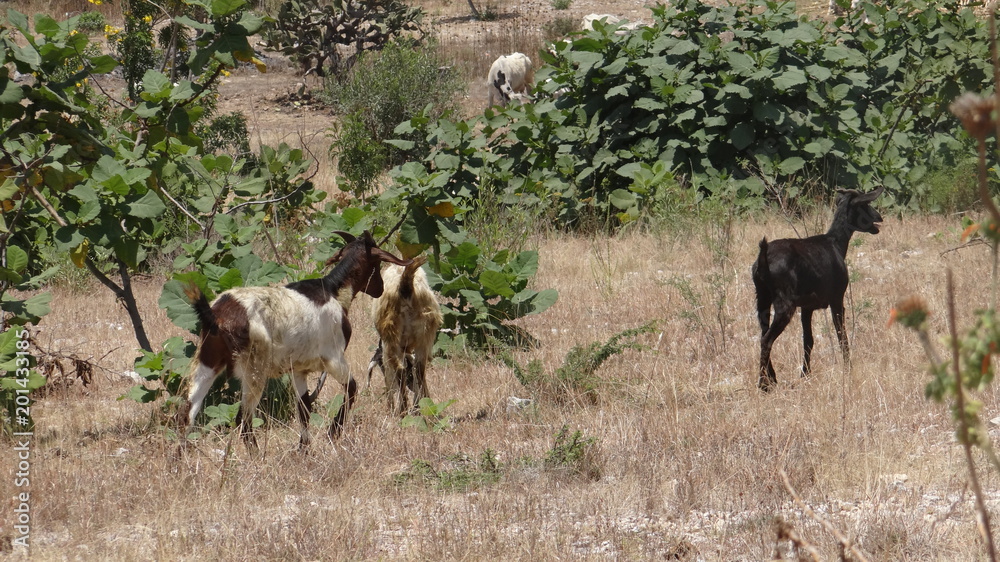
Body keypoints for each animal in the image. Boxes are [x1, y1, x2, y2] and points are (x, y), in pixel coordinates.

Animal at [182, 230, 412, 449]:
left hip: (206, 361)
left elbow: (304, 409)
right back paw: (256, 456)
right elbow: (351, 389)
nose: (380, 288)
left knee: (187, 414)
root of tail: (216, 315)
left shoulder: (299, 369)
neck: (333, 291)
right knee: (243, 419)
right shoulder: (334, 357)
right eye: (377, 263)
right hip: (254, 368)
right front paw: (333, 433)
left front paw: (304, 449)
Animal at [367, 255, 443, 416]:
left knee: (400, 370)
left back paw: (402, 411)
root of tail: (405, 284)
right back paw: (423, 406)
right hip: (424, 333)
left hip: (391, 335)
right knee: (420, 369)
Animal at [752, 186, 884, 390]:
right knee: (767, 339)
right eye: (865, 204)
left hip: (762, 299)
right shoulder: (837, 299)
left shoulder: (807, 307)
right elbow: (841, 336)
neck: (836, 242)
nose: (880, 218)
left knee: (763, 335)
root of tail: (764, 259)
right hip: (785, 304)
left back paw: (771, 379)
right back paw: (764, 384)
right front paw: (849, 369)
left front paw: (805, 374)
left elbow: (808, 340)